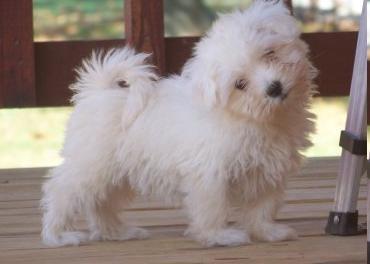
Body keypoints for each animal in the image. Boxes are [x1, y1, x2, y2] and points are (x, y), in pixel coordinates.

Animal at [42, 0, 316, 248]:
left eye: (269, 53)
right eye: (240, 84)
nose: (274, 88)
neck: (253, 117)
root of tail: (99, 90)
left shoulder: (267, 169)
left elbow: (263, 205)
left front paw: (268, 232)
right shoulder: (209, 173)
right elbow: (212, 207)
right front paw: (219, 236)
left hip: (117, 173)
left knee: (102, 202)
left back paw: (117, 232)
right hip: (91, 164)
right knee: (62, 191)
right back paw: (58, 235)